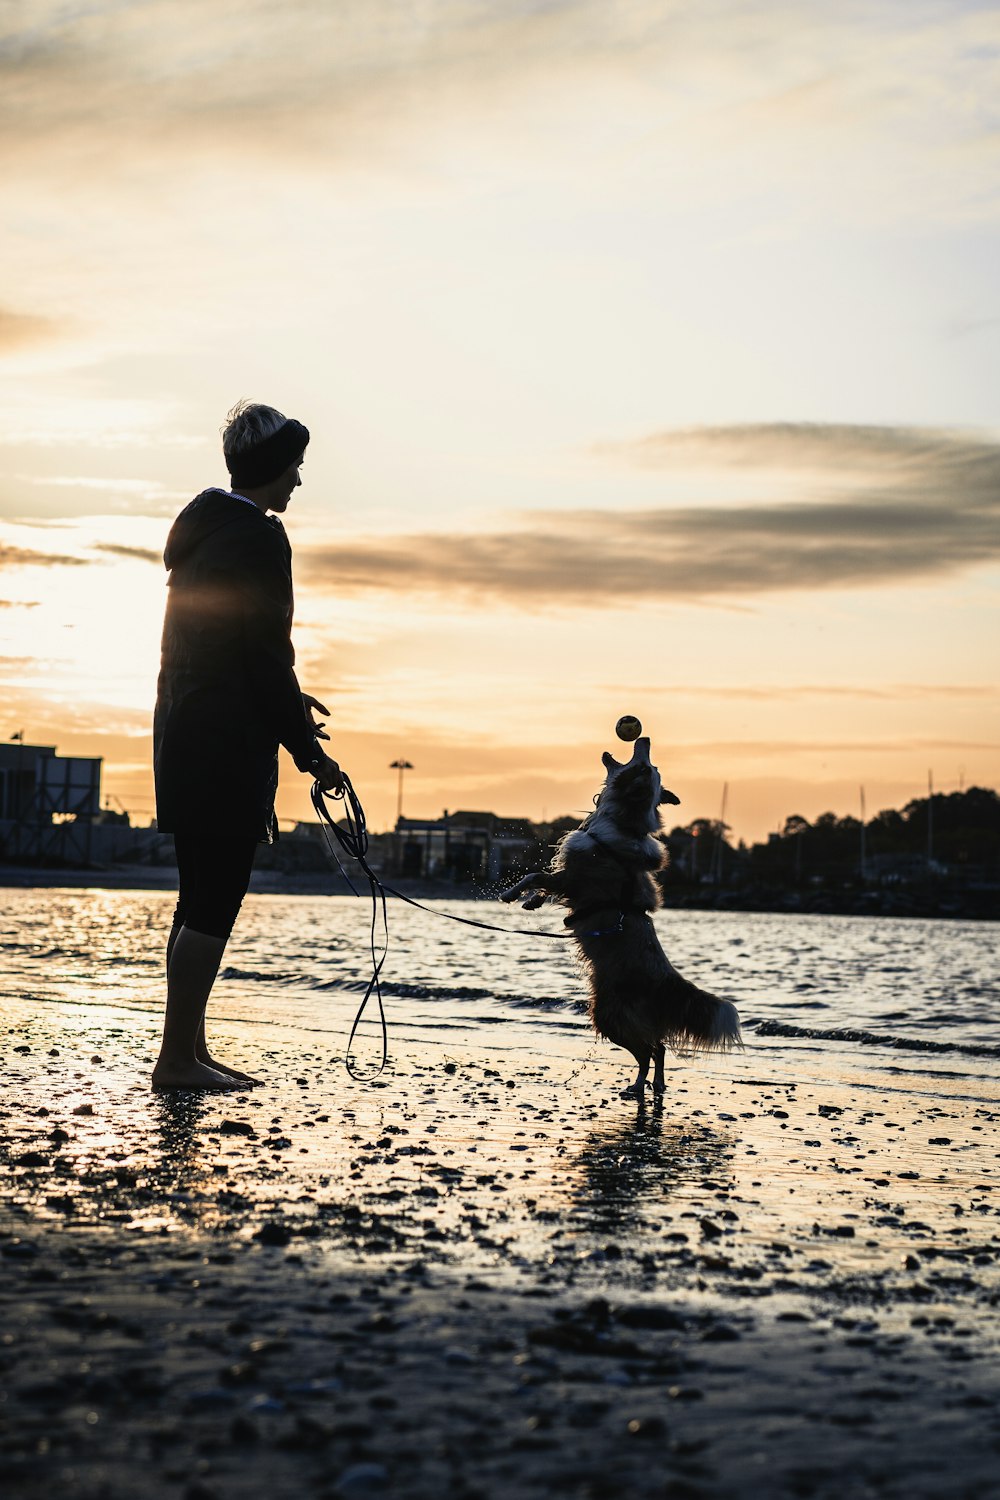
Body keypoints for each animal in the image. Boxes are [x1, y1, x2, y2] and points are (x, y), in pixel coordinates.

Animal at [500, 735, 743, 1098]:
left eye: (645, 766)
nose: (644, 737)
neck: (622, 822)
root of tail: (665, 980)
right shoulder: (568, 878)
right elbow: (543, 881)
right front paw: (532, 902)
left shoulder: (574, 877)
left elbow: (536, 875)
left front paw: (512, 894)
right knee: (659, 1048)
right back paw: (655, 1086)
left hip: (609, 1016)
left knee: (647, 1050)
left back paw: (638, 1085)